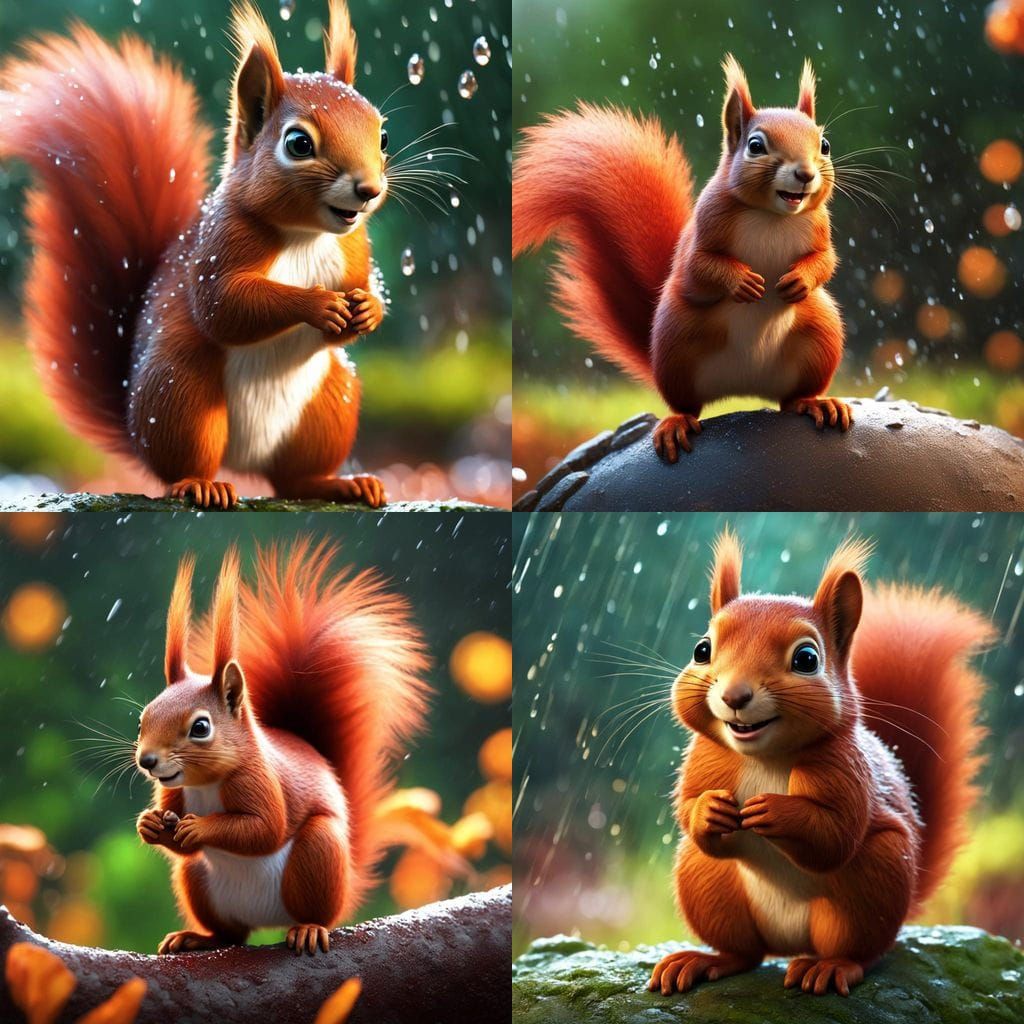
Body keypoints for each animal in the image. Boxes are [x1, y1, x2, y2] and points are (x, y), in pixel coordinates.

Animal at [0, 1, 394, 508]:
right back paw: (199, 485)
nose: (369, 190)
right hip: (181, 398)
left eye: (382, 137)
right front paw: (318, 304)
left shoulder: (354, 249)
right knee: (184, 465)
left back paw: (339, 483)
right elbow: (224, 307)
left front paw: (367, 309)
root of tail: (242, 460)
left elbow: (361, 292)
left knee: (293, 480)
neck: (306, 236)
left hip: (330, 405)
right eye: (298, 144)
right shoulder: (222, 244)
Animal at [133, 539, 429, 955]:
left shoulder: (258, 780)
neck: (205, 784)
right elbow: (182, 843)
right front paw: (149, 824)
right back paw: (198, 938)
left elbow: (264, 829)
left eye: (201, 727)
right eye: (142, 720)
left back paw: (308, 928)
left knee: (315, 910)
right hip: (199, 883)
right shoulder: (174, 795)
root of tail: (266, 920)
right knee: (230, 933)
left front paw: (201, 827)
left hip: (319, 854)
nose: (147, 761)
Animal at [513, 56, 851, 462]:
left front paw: (799, 279)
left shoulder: (820, 229)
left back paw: (815, 402)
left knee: (791, 399)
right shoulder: (704, 229)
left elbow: (825, 260)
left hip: (820, 333)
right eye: (756, 146)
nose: (805, 174)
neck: (772, 216)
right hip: (678, 347)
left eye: (825, 144)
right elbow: (697, 268)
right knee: (685, 405)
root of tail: (746, 384)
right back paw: (677, 424)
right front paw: (741, 281)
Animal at [647, 529, 993, 996]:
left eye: (807, 659)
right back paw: (705, 960)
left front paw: (776, 810)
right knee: (744, 953)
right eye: (701, 650)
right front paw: (708, 810)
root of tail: (789, 945)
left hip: (874, 881)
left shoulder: (844, 770)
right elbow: (687, 808)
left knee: (861, 952)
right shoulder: (704, 760)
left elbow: (836, 835)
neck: (766, 756)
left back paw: (830, 968)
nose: (735, 695)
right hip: (706, 883)